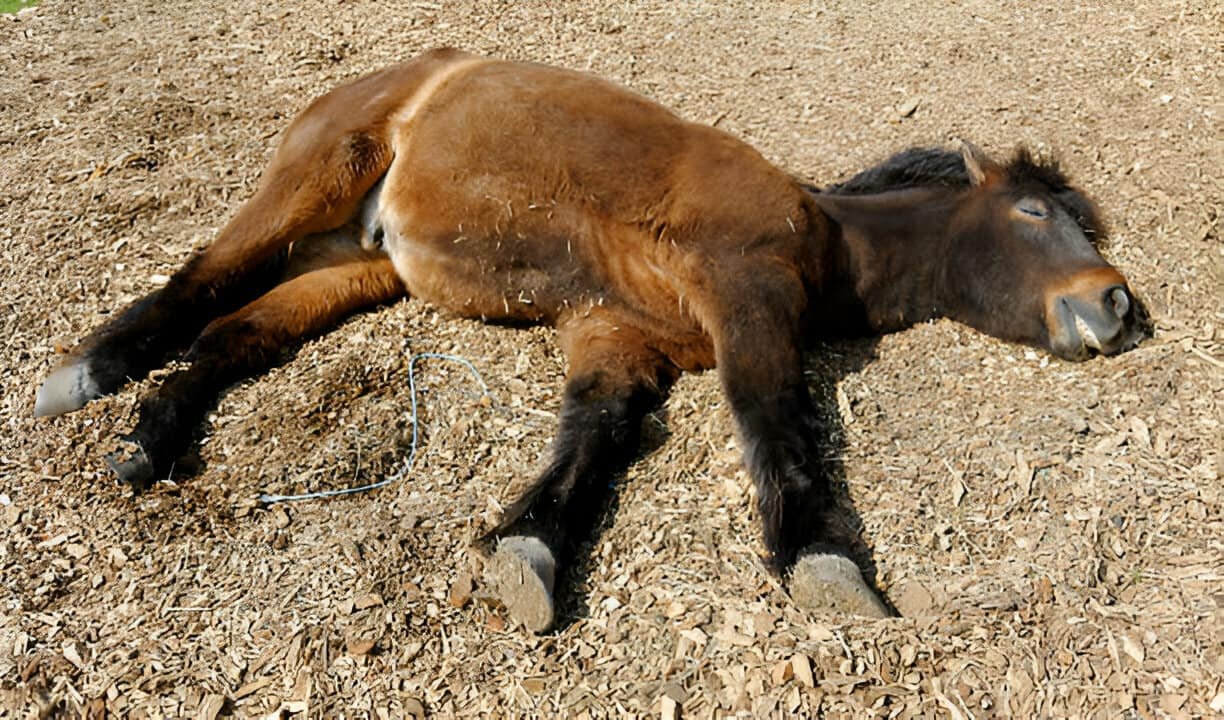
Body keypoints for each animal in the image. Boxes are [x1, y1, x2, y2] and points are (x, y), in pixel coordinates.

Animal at [34, 48, 1147, 632]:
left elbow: (594, 432)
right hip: (316, 177)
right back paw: (87, 375)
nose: (1116, 306)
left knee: (236, 331)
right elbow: (774, 416)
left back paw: (148, 437)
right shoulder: (745, 296)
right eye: (1035, 214)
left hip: (358, 260)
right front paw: (825, 558)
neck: (824, 237)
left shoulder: (623, 333)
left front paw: (528, 545)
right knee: (197, 283)